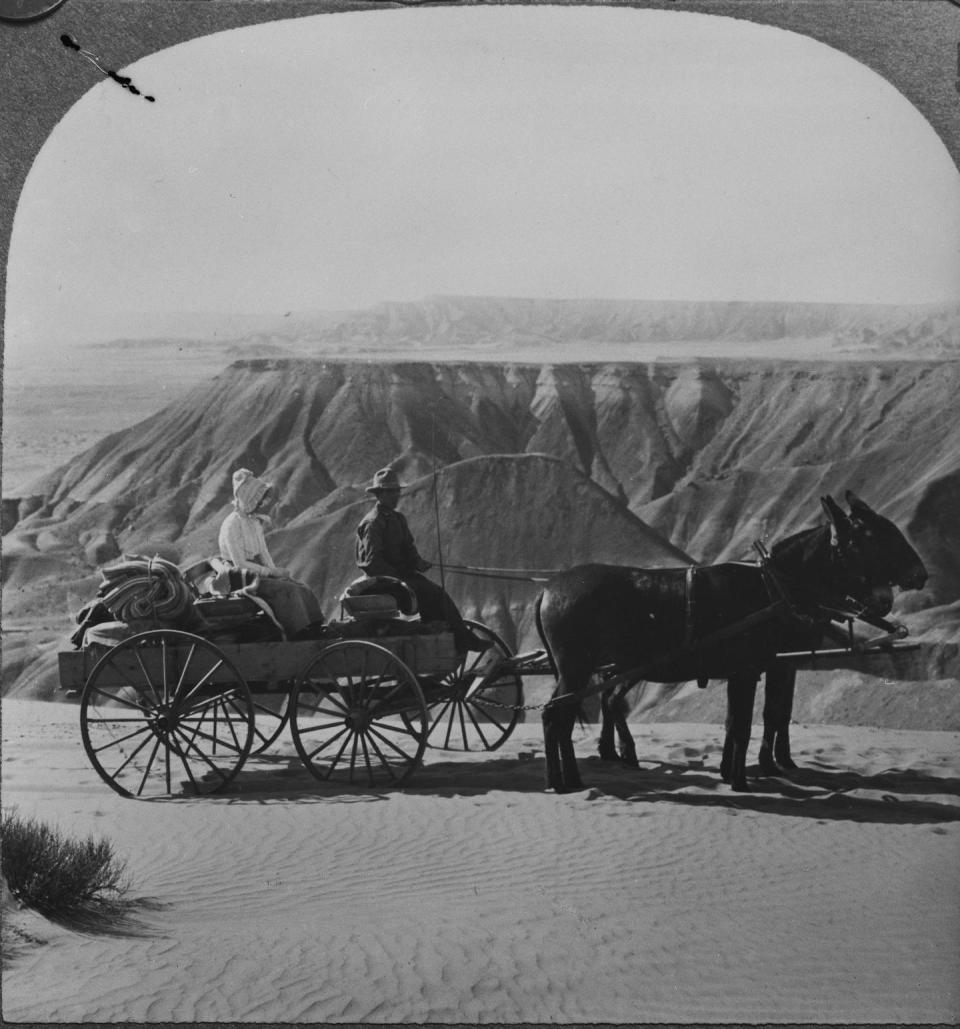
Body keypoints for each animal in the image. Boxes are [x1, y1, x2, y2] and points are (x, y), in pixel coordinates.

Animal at [535, 493, 926, 790]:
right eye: (875, 536)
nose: (920, 575)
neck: (773, 589)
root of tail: (549, 589)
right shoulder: (752, 670)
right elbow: (746, 723)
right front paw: (742, 779)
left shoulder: (765, 668)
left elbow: (745, 719)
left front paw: (741, 770)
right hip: (578, 668)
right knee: (559, 715)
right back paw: (567, 780)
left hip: (591, 670)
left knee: (573, 711)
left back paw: (574, 774)